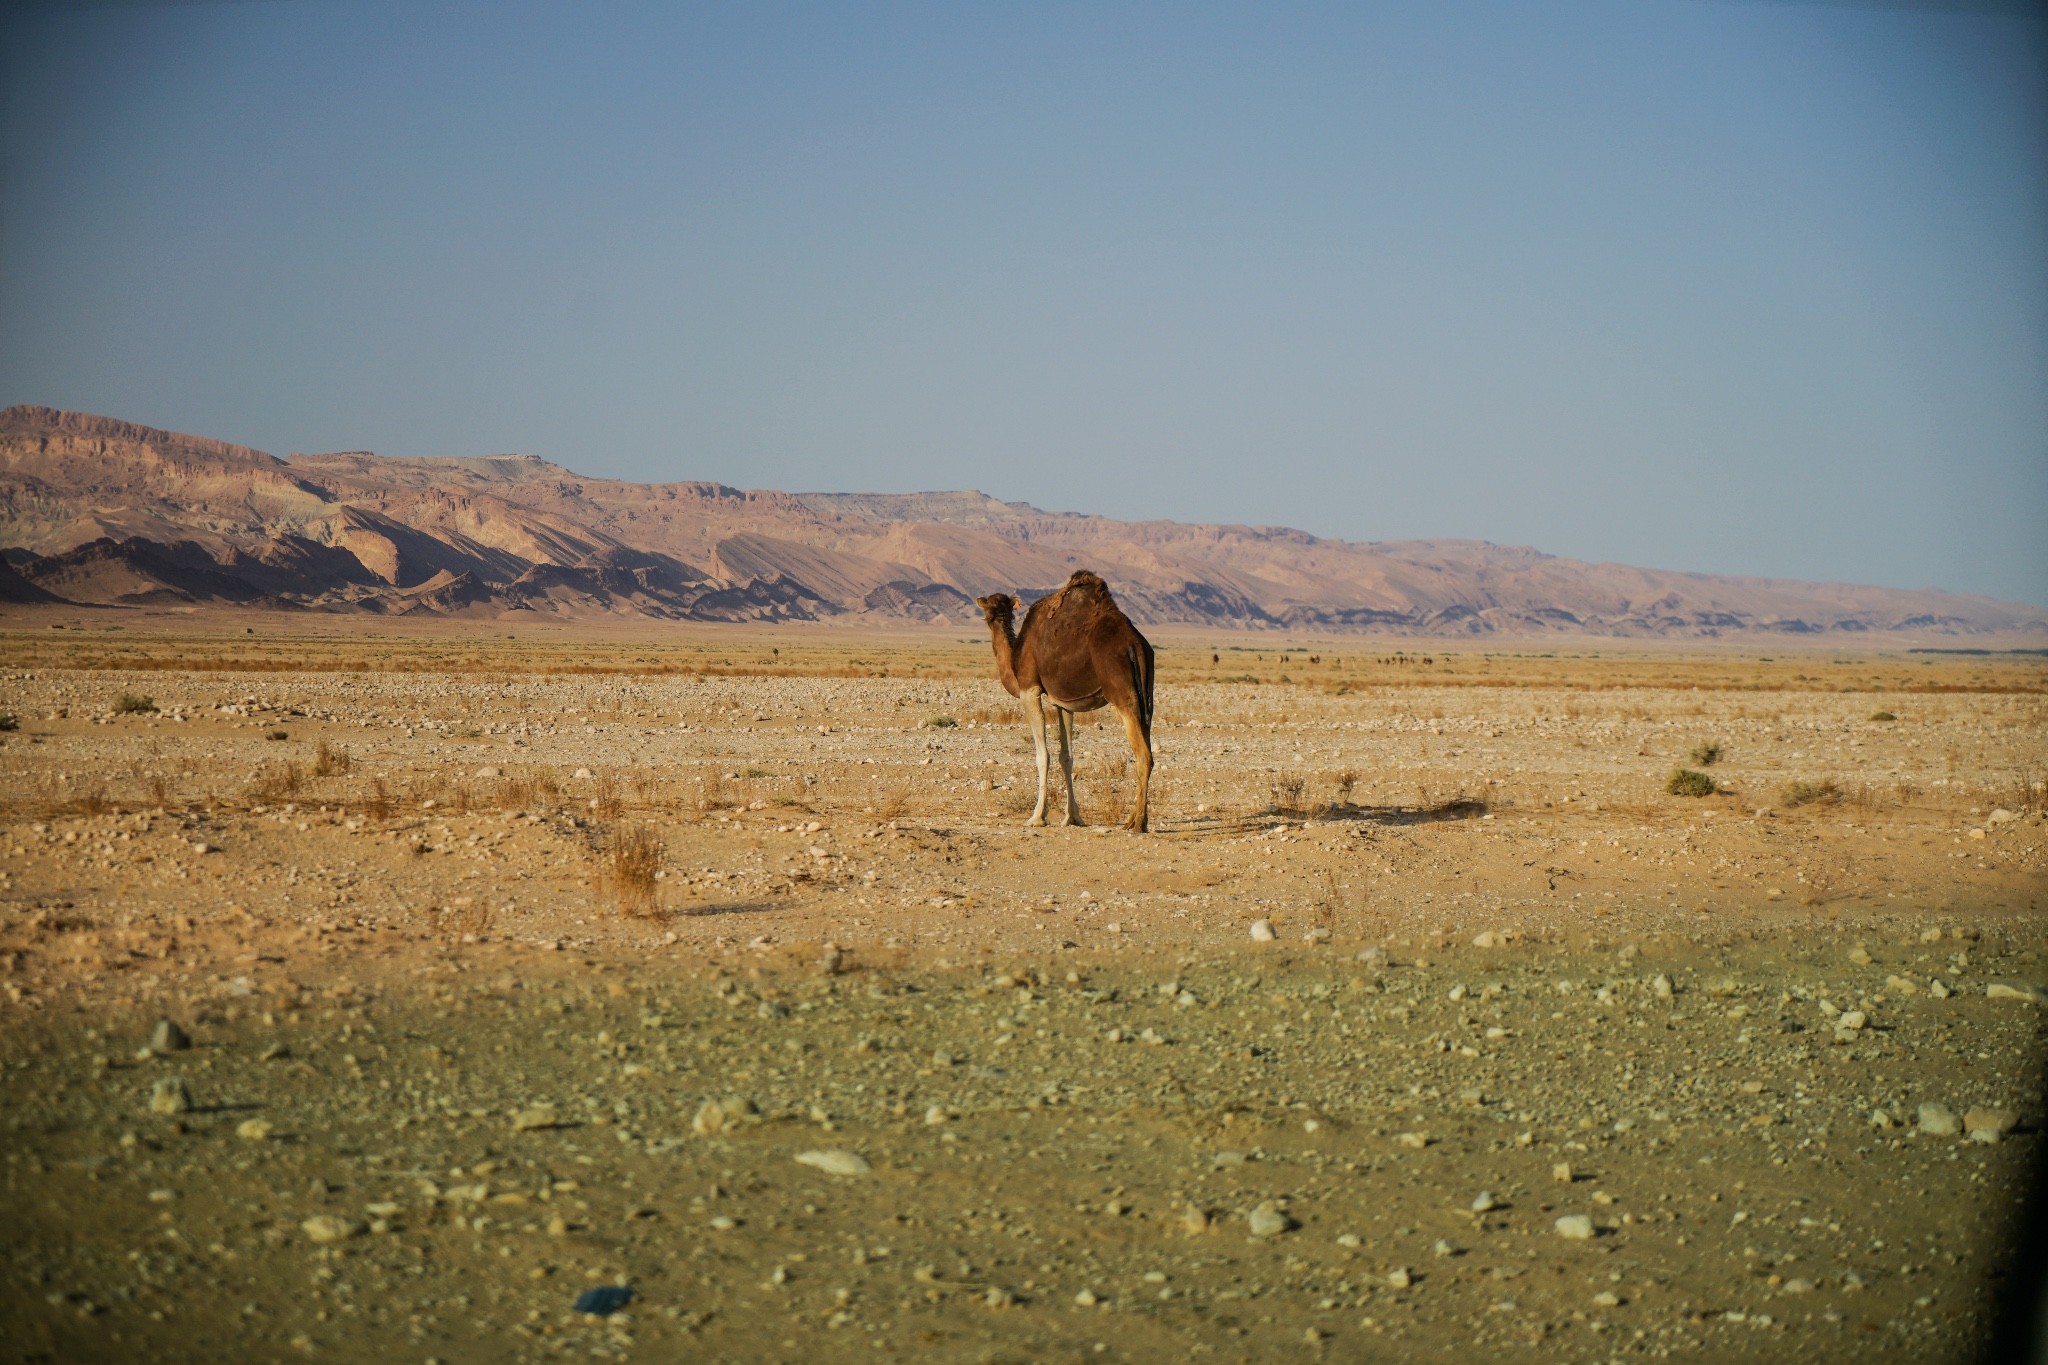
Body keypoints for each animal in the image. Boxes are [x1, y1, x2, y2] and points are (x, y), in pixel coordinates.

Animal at [974, 568, 1155, 826]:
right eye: (991, 610)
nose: (993, 617)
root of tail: (1135, 644)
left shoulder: (1028, 689)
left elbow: (1043, 756)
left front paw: (1037, 816)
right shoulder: (1065, 703)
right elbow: (1066, 757)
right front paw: (1072, 816)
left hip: (1122, 694)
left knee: (1142, 755)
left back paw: (1136, 823)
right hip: (1147, 695)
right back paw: (1139, 820)